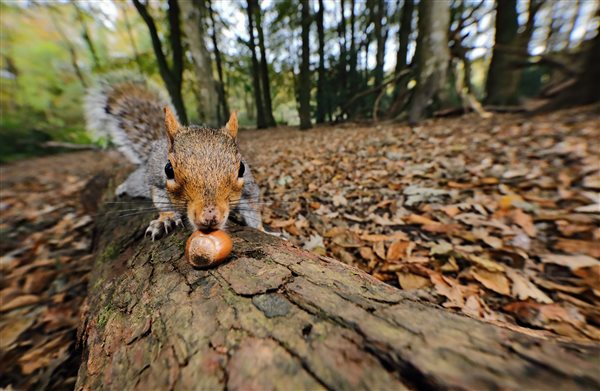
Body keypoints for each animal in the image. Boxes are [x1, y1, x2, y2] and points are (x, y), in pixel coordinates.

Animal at [84, 72, 262, 239]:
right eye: (168, 170)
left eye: (241, 168)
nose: (209, 216)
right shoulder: (157, 183)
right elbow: (163, 202)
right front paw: (165, 219)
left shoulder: (249, 188)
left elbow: (253, 208)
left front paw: (262, 229)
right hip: (142, 180)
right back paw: (122, 187)